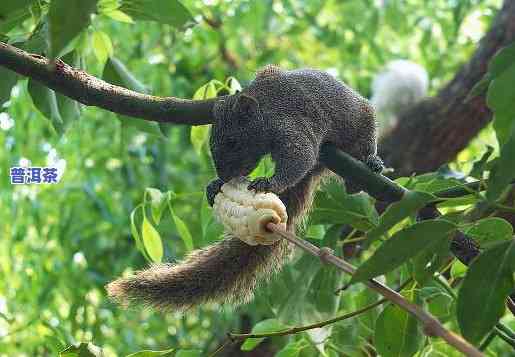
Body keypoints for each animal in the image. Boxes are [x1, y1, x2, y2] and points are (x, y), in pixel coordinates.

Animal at [107, 65, 382, 310]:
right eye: (211, 141)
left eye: (232, 141)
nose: (224, 175)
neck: (264, 107)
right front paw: (217, 184)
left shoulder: (291, 123)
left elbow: (300, 155)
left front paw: (269, 182)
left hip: (363, 122)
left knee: (364, 145)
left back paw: (370, 164)